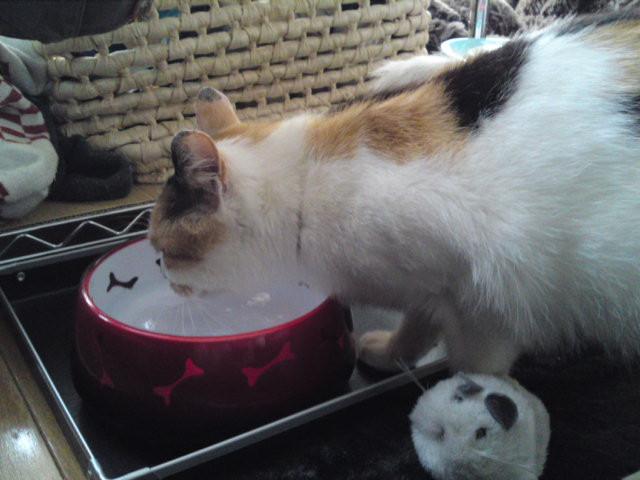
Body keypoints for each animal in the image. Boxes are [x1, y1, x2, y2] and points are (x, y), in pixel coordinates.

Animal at [150, 10, 640, 375]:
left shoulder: (484, 301)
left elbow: (476, 368)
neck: (307, 191)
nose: (165, 279)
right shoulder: (434, 288)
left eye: (163, 251)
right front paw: (390, 354)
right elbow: (416, 328)